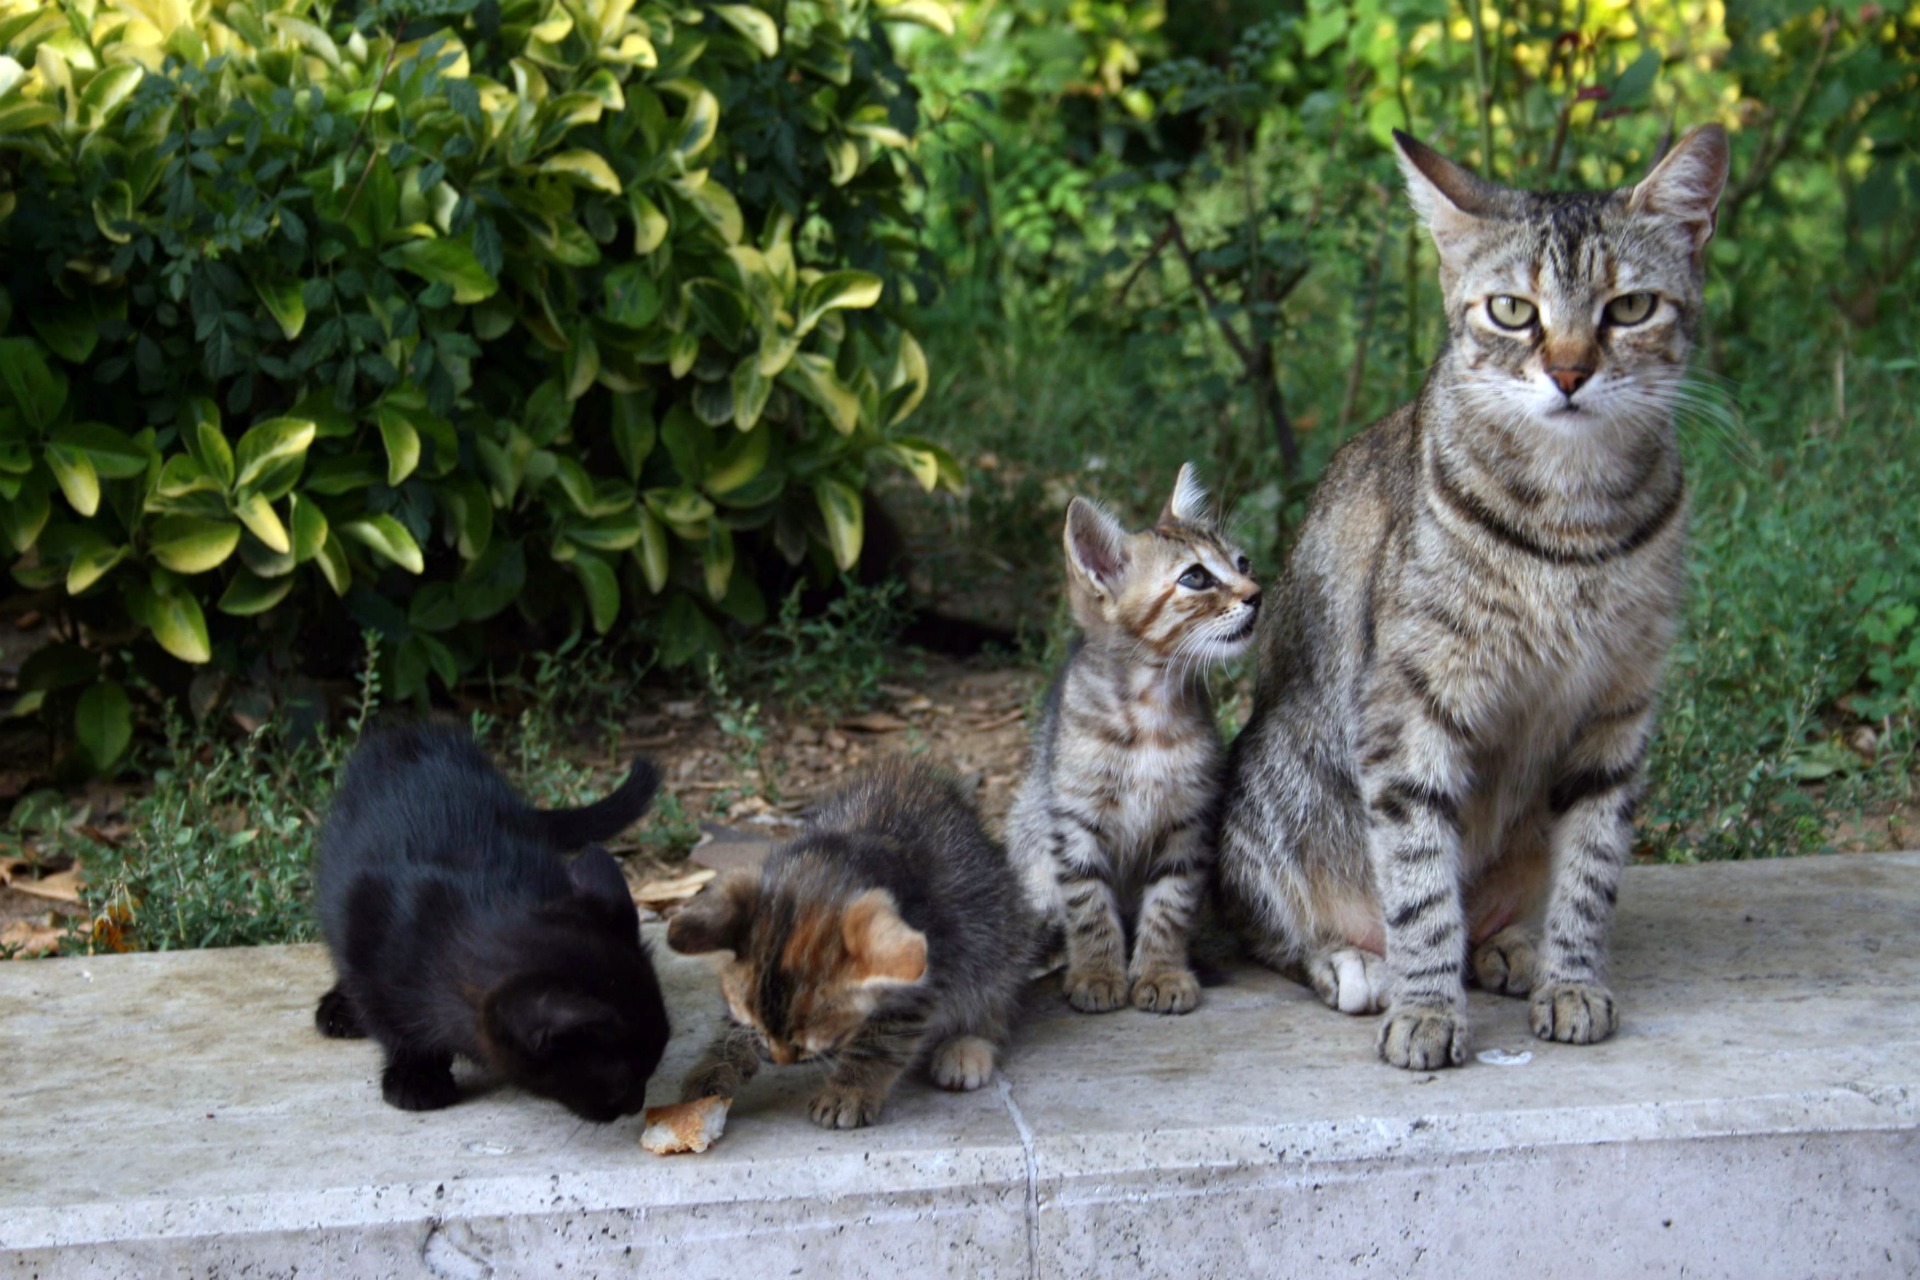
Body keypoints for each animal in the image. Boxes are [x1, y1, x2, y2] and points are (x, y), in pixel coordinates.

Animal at [311, 721, 672, 1120]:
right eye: (621, 1083)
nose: (636, 1105)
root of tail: (410, 732)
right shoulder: (364, 941)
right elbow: (389, 1022)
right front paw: (416, 1075)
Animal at [668, 759, 1044, 1128]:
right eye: (756, 1023)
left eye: (809, 1034)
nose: (782, 1056)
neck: (823, 871)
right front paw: (714, 1068)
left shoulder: (922, 976)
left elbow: (881, 1041)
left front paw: (848, 1091)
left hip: (998, 936)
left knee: (994, 994)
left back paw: (967, 1046)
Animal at [1006, 466, 1259, 1013]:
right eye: (1195, 577)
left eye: (1242, 562)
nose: (1256, 592)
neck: (1150, 713)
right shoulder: (1074, 822)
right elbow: (1088, 907)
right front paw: (1098, 973)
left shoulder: (1188, 820)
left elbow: (1170, 904)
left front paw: (1163, 972)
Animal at [1213, 127, 1728, 1074]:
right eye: (1514, 311)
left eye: (1630, 308)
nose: (1569, 372)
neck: (1572, 520)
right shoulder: (1406, 713)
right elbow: (1418, 882)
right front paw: (1426, 1007)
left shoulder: (1620, 707)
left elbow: (1592, 870)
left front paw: (1572, 978)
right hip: (1277, 781)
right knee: (1273, 928)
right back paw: (1355, 962)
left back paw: (1509, 945)